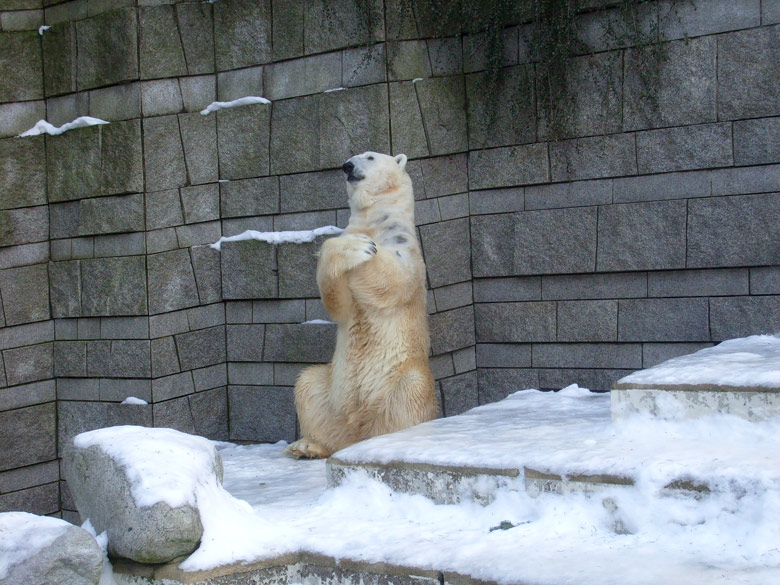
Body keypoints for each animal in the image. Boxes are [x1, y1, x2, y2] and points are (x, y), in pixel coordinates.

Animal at [286, 152, 438, 460]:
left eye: (369, 156)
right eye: (350, 158)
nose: (347, 166)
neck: (375, 219)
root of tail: (360, 431)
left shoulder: (406, 250)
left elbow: (392, 278)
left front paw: (365, 247)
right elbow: (338, 304)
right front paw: (354, 245)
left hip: (400, 384)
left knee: (411, 393)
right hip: (331, 395)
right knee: (307, 384)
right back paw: (308, 445)